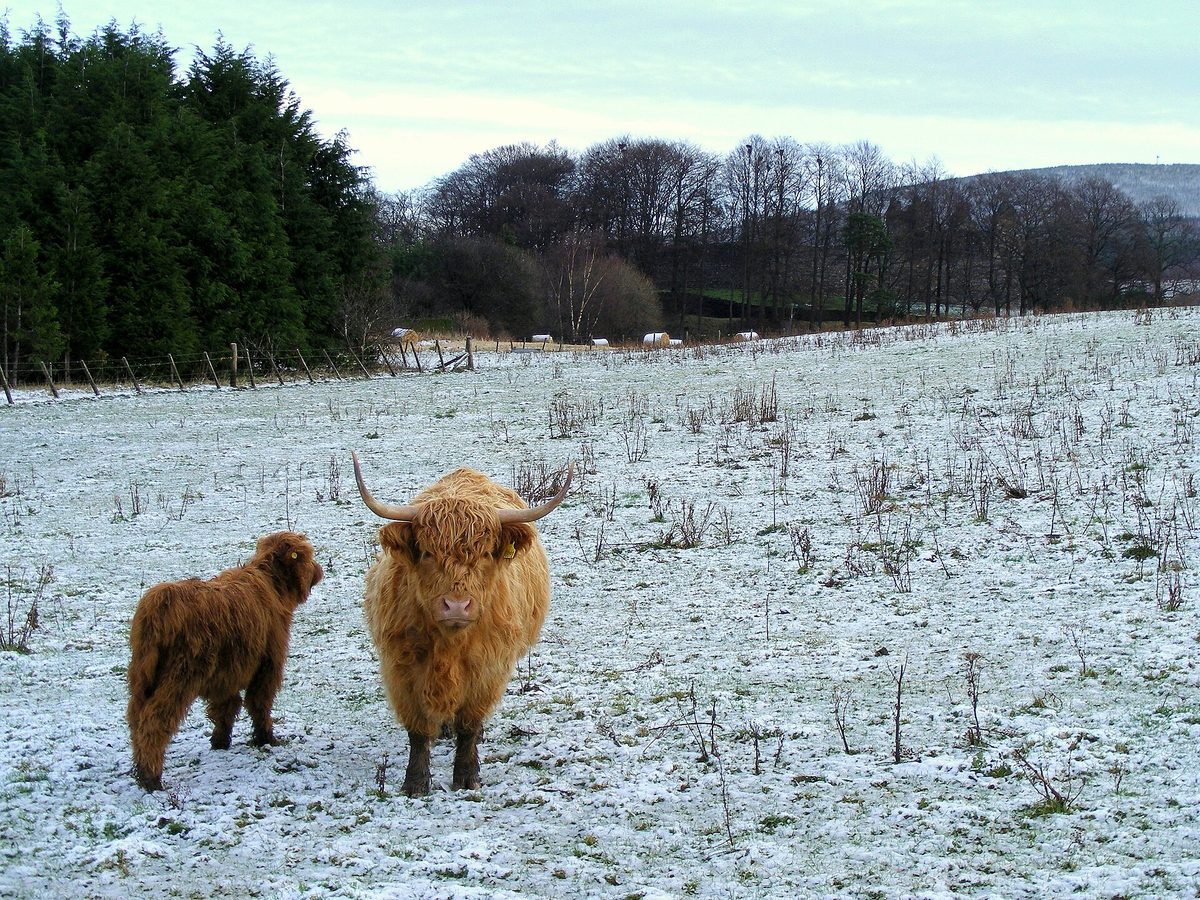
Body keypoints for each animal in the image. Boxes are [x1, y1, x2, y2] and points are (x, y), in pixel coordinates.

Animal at [126, 531, 323, 791]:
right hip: (179, 676)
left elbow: (225, 707)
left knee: (135, 718)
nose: (319, 570)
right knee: (154, 721)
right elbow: (259, 702)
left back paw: (140, 770)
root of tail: (160, 602)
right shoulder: (268, 662)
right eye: (307, 555)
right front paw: (267, 739)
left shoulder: (227, 672)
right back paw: (152, 779)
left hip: (141, 675)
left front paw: (220, 741)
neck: (272, 585)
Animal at [352, 452, 572, 797]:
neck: (448, 646)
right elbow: (417, 730)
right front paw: (415, 783)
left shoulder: (488, 670)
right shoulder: (401, 669)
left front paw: (467, 777)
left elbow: (469, 724)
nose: (456, 605)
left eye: (486, 554)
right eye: (427, 552)